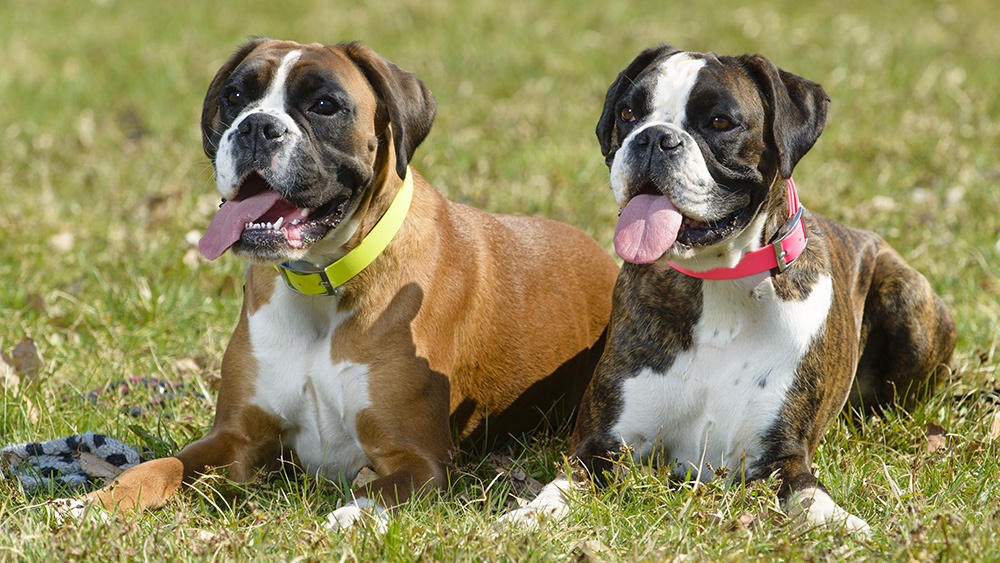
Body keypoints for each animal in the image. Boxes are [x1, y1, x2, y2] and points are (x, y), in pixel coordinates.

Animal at [504, 45, 956, 536]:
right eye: (628, 113)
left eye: (720, 121)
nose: (653, 139)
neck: (718, 285)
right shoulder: (603, 445)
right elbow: (563, 485)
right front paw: (531, 514)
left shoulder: (780, 458)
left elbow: (810, 496)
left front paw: (843, 524)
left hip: (908, 304)